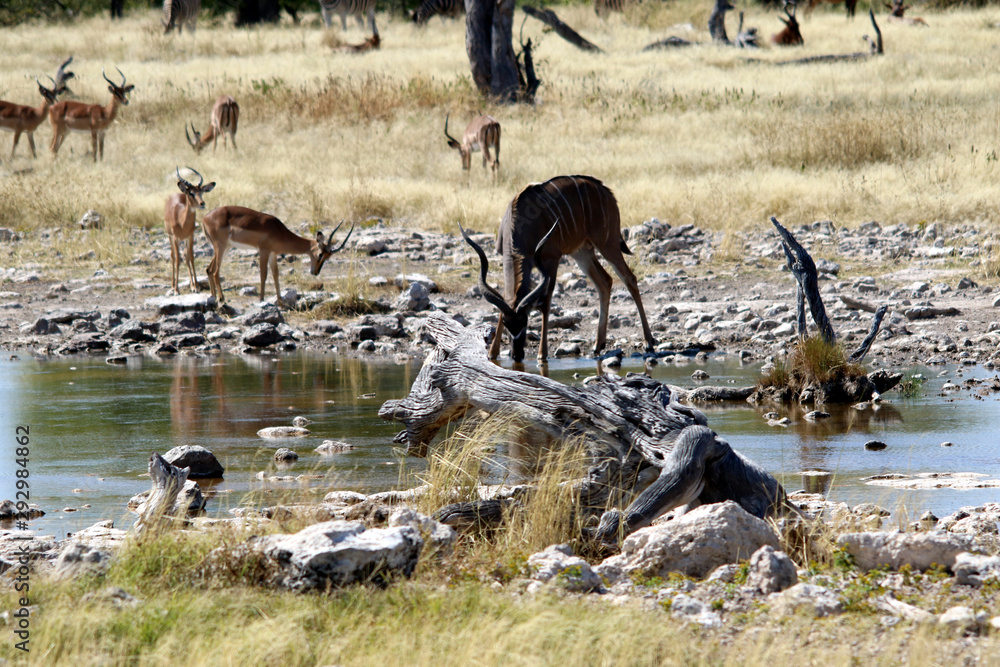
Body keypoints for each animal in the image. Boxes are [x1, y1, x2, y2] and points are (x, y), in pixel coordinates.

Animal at [201, 206, 354, 308]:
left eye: (328, 258)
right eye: (320, 254)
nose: (315, 272)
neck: (279, 231)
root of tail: (205, 217)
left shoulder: (273, 253)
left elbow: (275, 275)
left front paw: (280, 303)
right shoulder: (264, 250)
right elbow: (264, 274)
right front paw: (261, 300)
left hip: (225, 248)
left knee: (209, 269)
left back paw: (213, 297)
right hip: (220, 247)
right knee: (215, 272)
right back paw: (222, 299)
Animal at [458, 172, 656, 360]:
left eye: (526, 320)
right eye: (507, 324)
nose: (517, 354)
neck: (521, 224)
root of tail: (607, 191)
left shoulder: (551, 259)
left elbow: (546, 300)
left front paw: (542, 354)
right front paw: (492, 353)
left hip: (607, 243)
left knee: (629, 278)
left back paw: (648, 343)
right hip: (582, 252)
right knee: (604, 282)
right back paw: (598, 345)